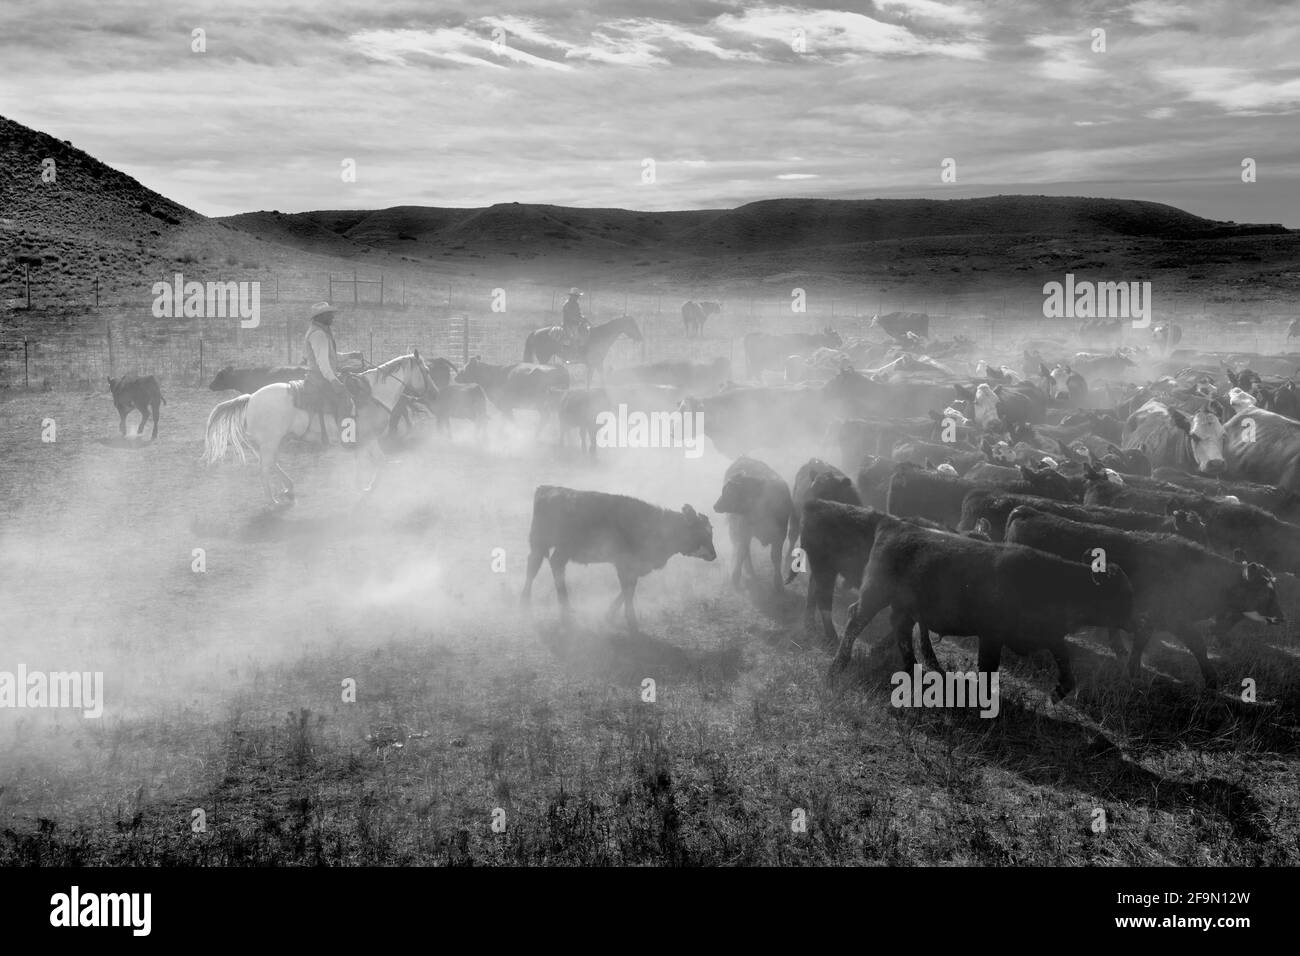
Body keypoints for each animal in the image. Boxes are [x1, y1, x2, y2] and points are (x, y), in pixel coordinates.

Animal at [200, 348, 439, 504]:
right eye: (426, 371)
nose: (435, 393)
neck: (373, 394)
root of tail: (251, 398)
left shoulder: (364, 440)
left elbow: (375, 461)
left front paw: (365, 485)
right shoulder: (368, 437)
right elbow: (374, 462)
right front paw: (367, 486)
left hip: (275, 440)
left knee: (271, 463)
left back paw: (288, 488)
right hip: (270, 441)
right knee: (265, 468)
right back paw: (272, 500)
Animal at [520, 486, 722, 629]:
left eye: (711, 532)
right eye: (700, 533)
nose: (714, 555)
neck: (656, 526)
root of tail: (548, 488)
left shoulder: (634, 567)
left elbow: (628, 589)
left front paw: (610, 613)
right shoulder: (624, 563)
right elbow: (628, 590)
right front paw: (630, 619)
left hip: (551, 548)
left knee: (544, 566)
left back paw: (546, 604)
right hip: (548, 544)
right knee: (542, 567)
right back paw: (545, 606)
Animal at [712, 455, 790, 590]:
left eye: (728, 492)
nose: (715, 506)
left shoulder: (780, 535)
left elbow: (776, 557)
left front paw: (778, 582)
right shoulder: (743, 532)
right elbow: (742, 553)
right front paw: (735, 577)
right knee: (742, 550)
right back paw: (749, 572)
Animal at [1003, 504, 1279, 686]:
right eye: (1265, 591)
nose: (1281, 618)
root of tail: (1025, 510)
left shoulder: (1154, 619)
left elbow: (1144, 643)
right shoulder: (1165, 618)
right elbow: (1193, 645)